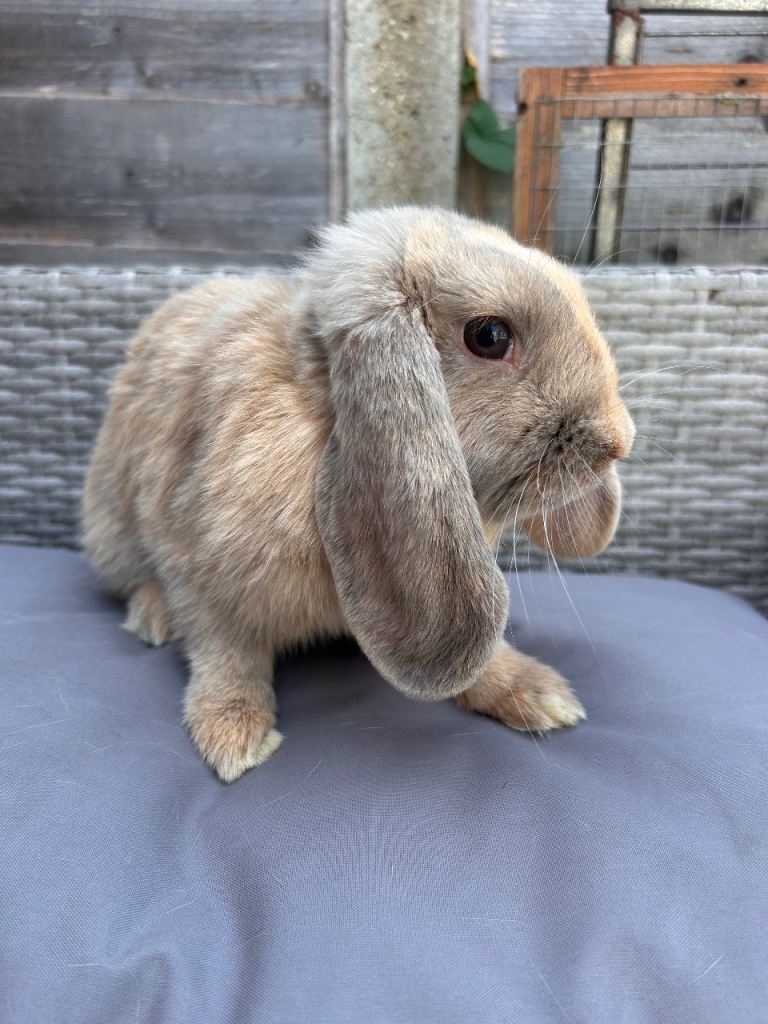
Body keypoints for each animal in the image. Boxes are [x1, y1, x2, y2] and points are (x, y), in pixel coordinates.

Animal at [82, 206, 635, 782]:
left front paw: (535, 692)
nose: (620, 441)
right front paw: (233, 734)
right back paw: (153, 619)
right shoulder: (197, 565)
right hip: (113, 530)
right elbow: (226, 652)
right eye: (489, 336)